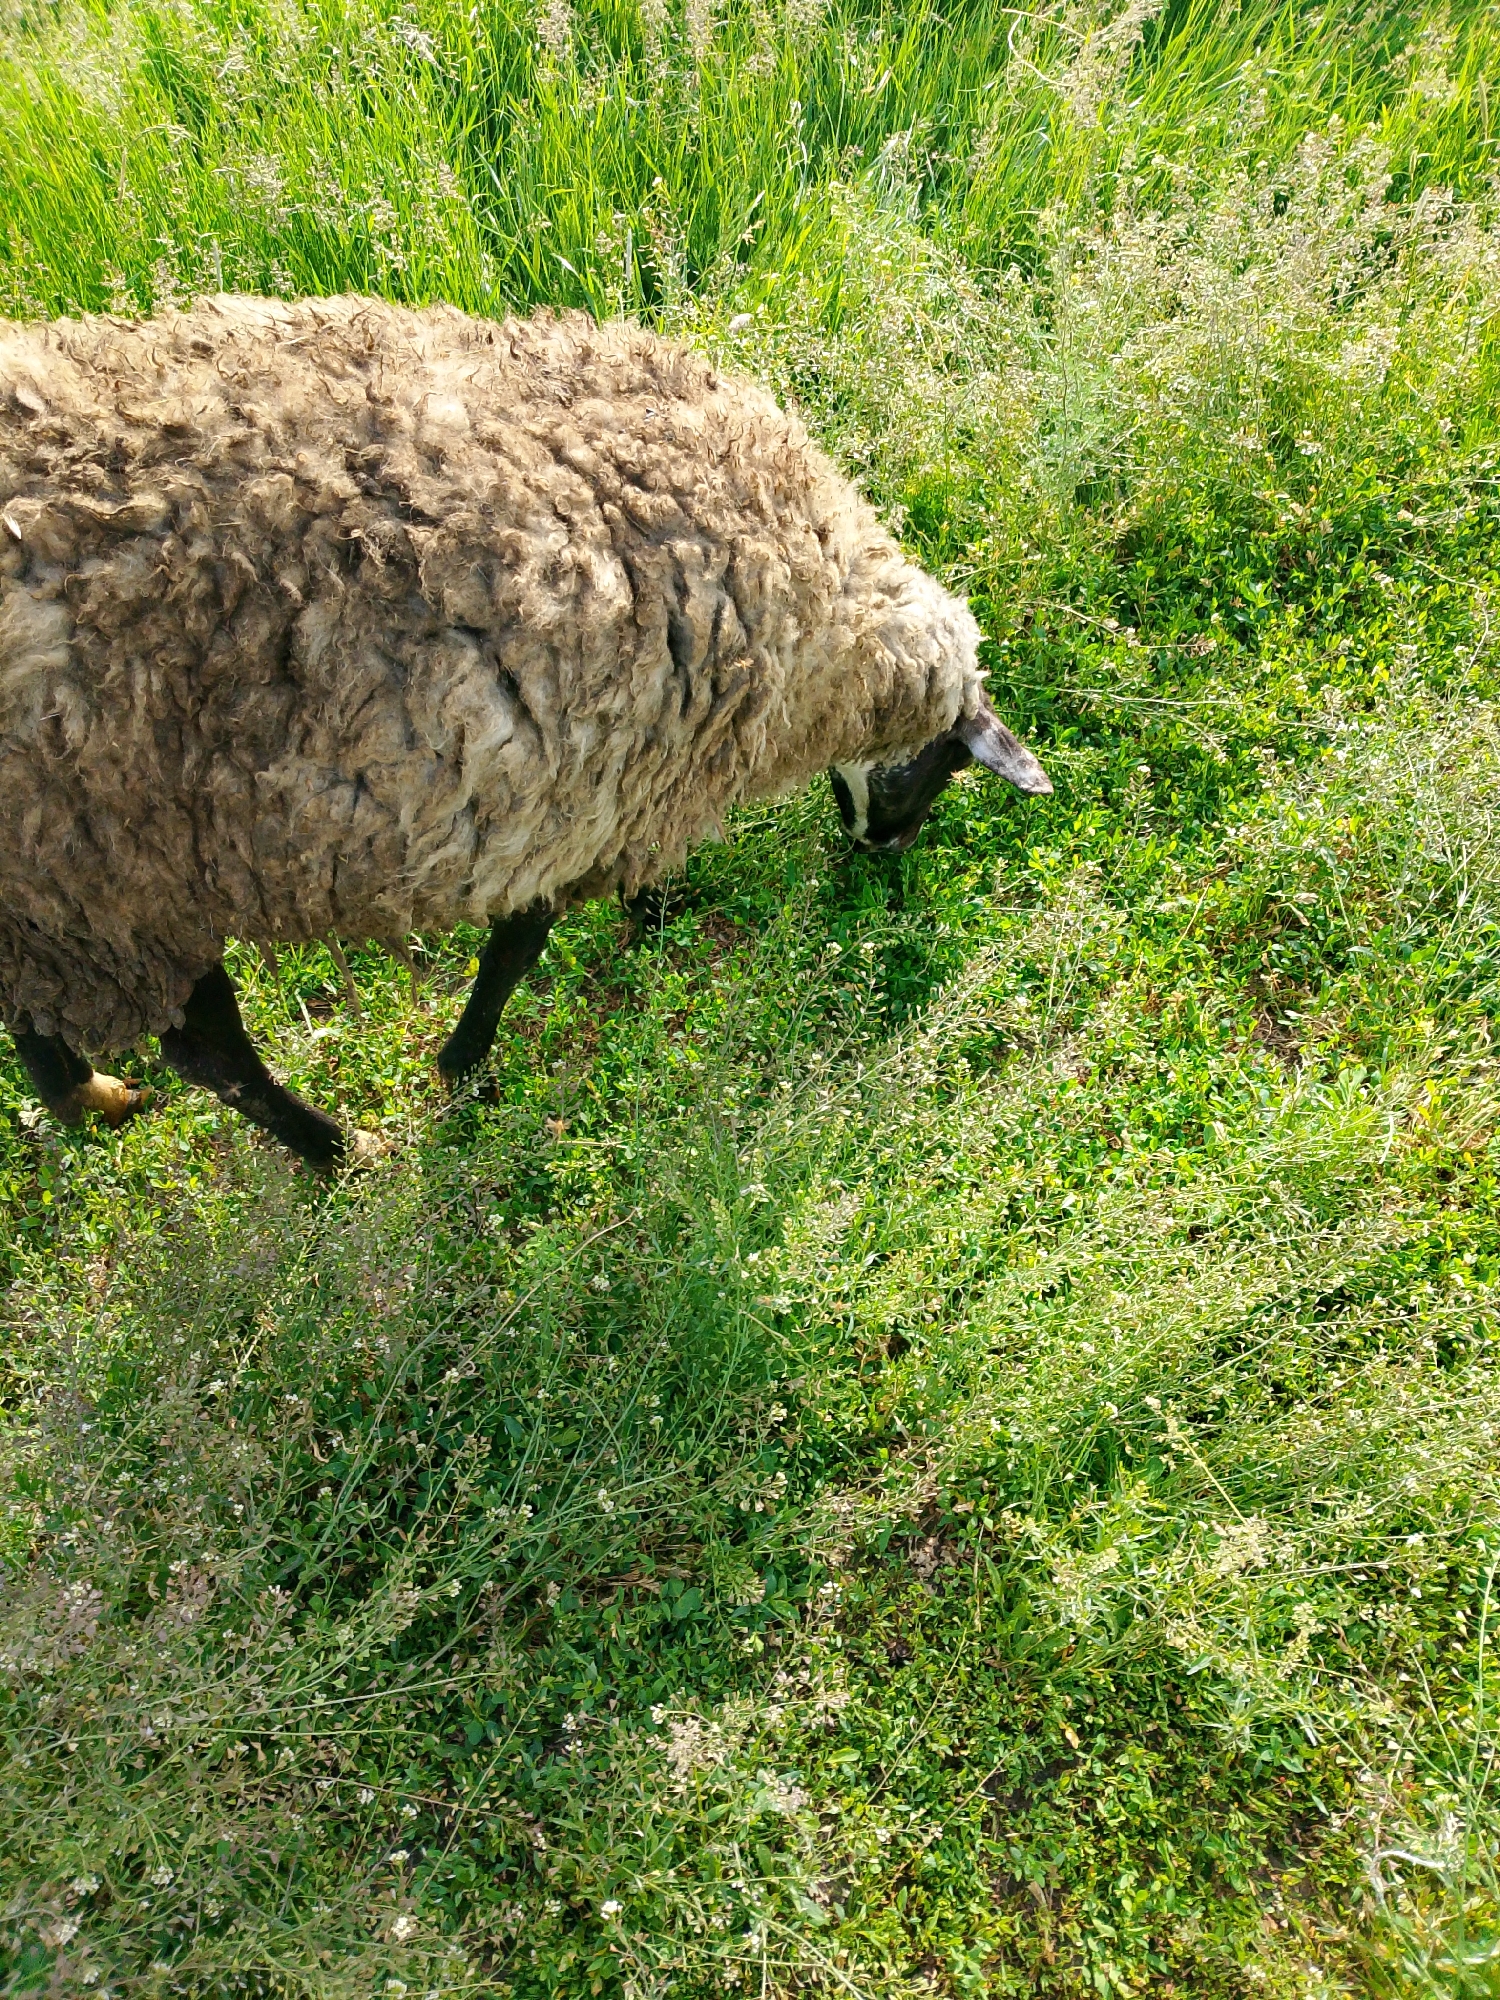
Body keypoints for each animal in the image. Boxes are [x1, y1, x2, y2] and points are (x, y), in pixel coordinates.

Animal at [0, 293, 1051, 1167]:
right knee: (207, 1047)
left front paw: (653, 914)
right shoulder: (576, 794)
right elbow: (518, 947)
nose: (883, 859)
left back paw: (92, 1101)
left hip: (54, 897)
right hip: (124, 878)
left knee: (42, 1022)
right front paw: (465, 1065)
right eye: (945, 769)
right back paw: (336, 1151)